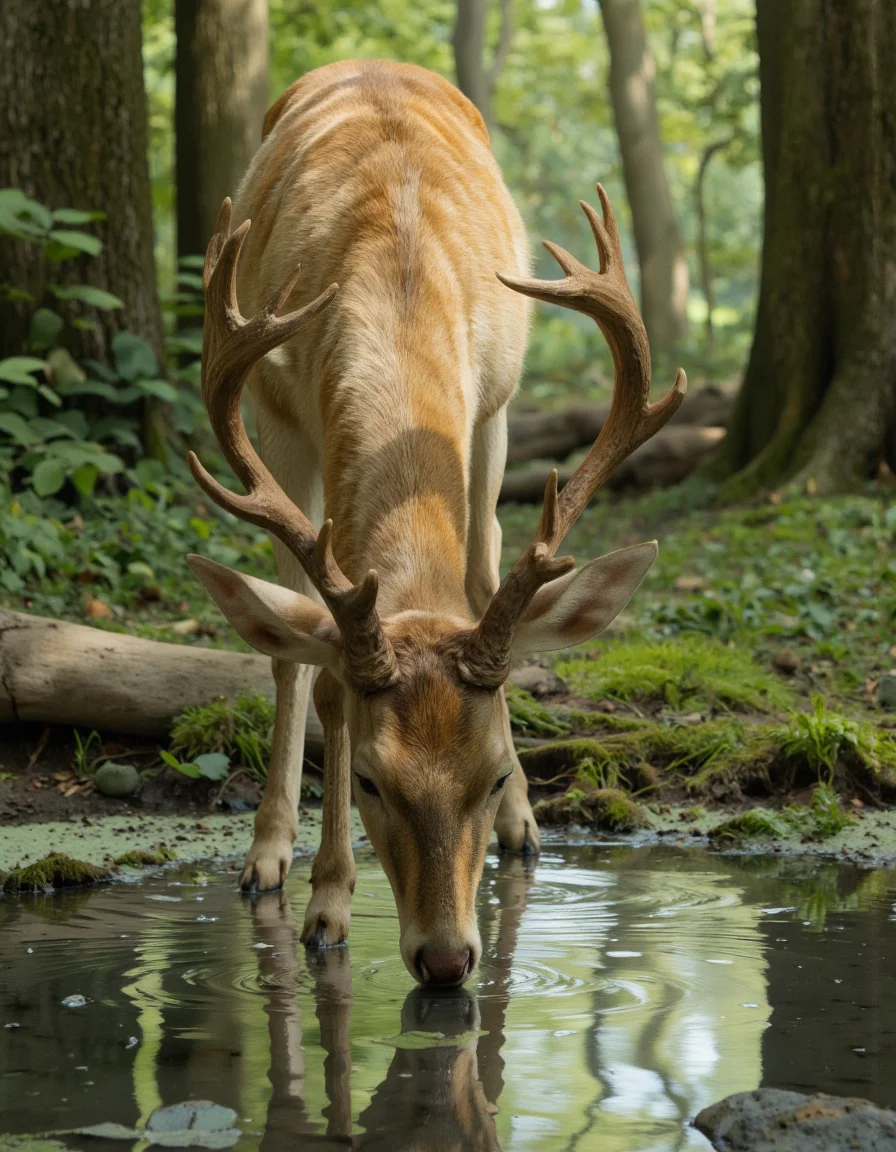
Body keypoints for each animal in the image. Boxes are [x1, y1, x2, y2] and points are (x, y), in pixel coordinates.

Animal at [186, 59, 686, 988]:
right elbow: (321, 677)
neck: (400, 265)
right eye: (371, 783)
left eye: (491, 774)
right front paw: (326, 905)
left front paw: (519, 824)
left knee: (478, 573)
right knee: (287, 650)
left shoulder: (492, 403)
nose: (449, 958)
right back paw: (267, 857)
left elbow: (487, 588)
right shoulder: (282, 423)